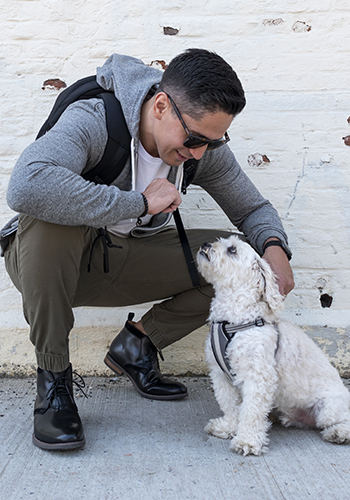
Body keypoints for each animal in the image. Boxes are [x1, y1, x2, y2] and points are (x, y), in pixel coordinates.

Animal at [197, 235, 350, 458]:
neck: (233, 319)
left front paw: (247, 441)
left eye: (232, 249)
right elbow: (230, 405)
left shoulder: (258, 376)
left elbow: (251, 412)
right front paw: (228, 427)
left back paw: (339, 433)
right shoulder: (220, 375)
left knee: (342, 420)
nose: (205, 245)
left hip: (329, 409)